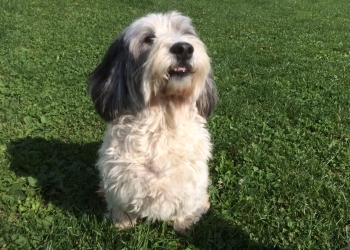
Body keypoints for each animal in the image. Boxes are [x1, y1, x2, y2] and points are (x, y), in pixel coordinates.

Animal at [88, 11, 216, 232]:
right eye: (148, 38)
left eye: (185, 32)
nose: (184, 48)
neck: (163, 119)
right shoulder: (119, 178)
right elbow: (121, 206)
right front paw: (123, 223)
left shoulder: (193, 179)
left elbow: (188, 205)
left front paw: (185, 222)